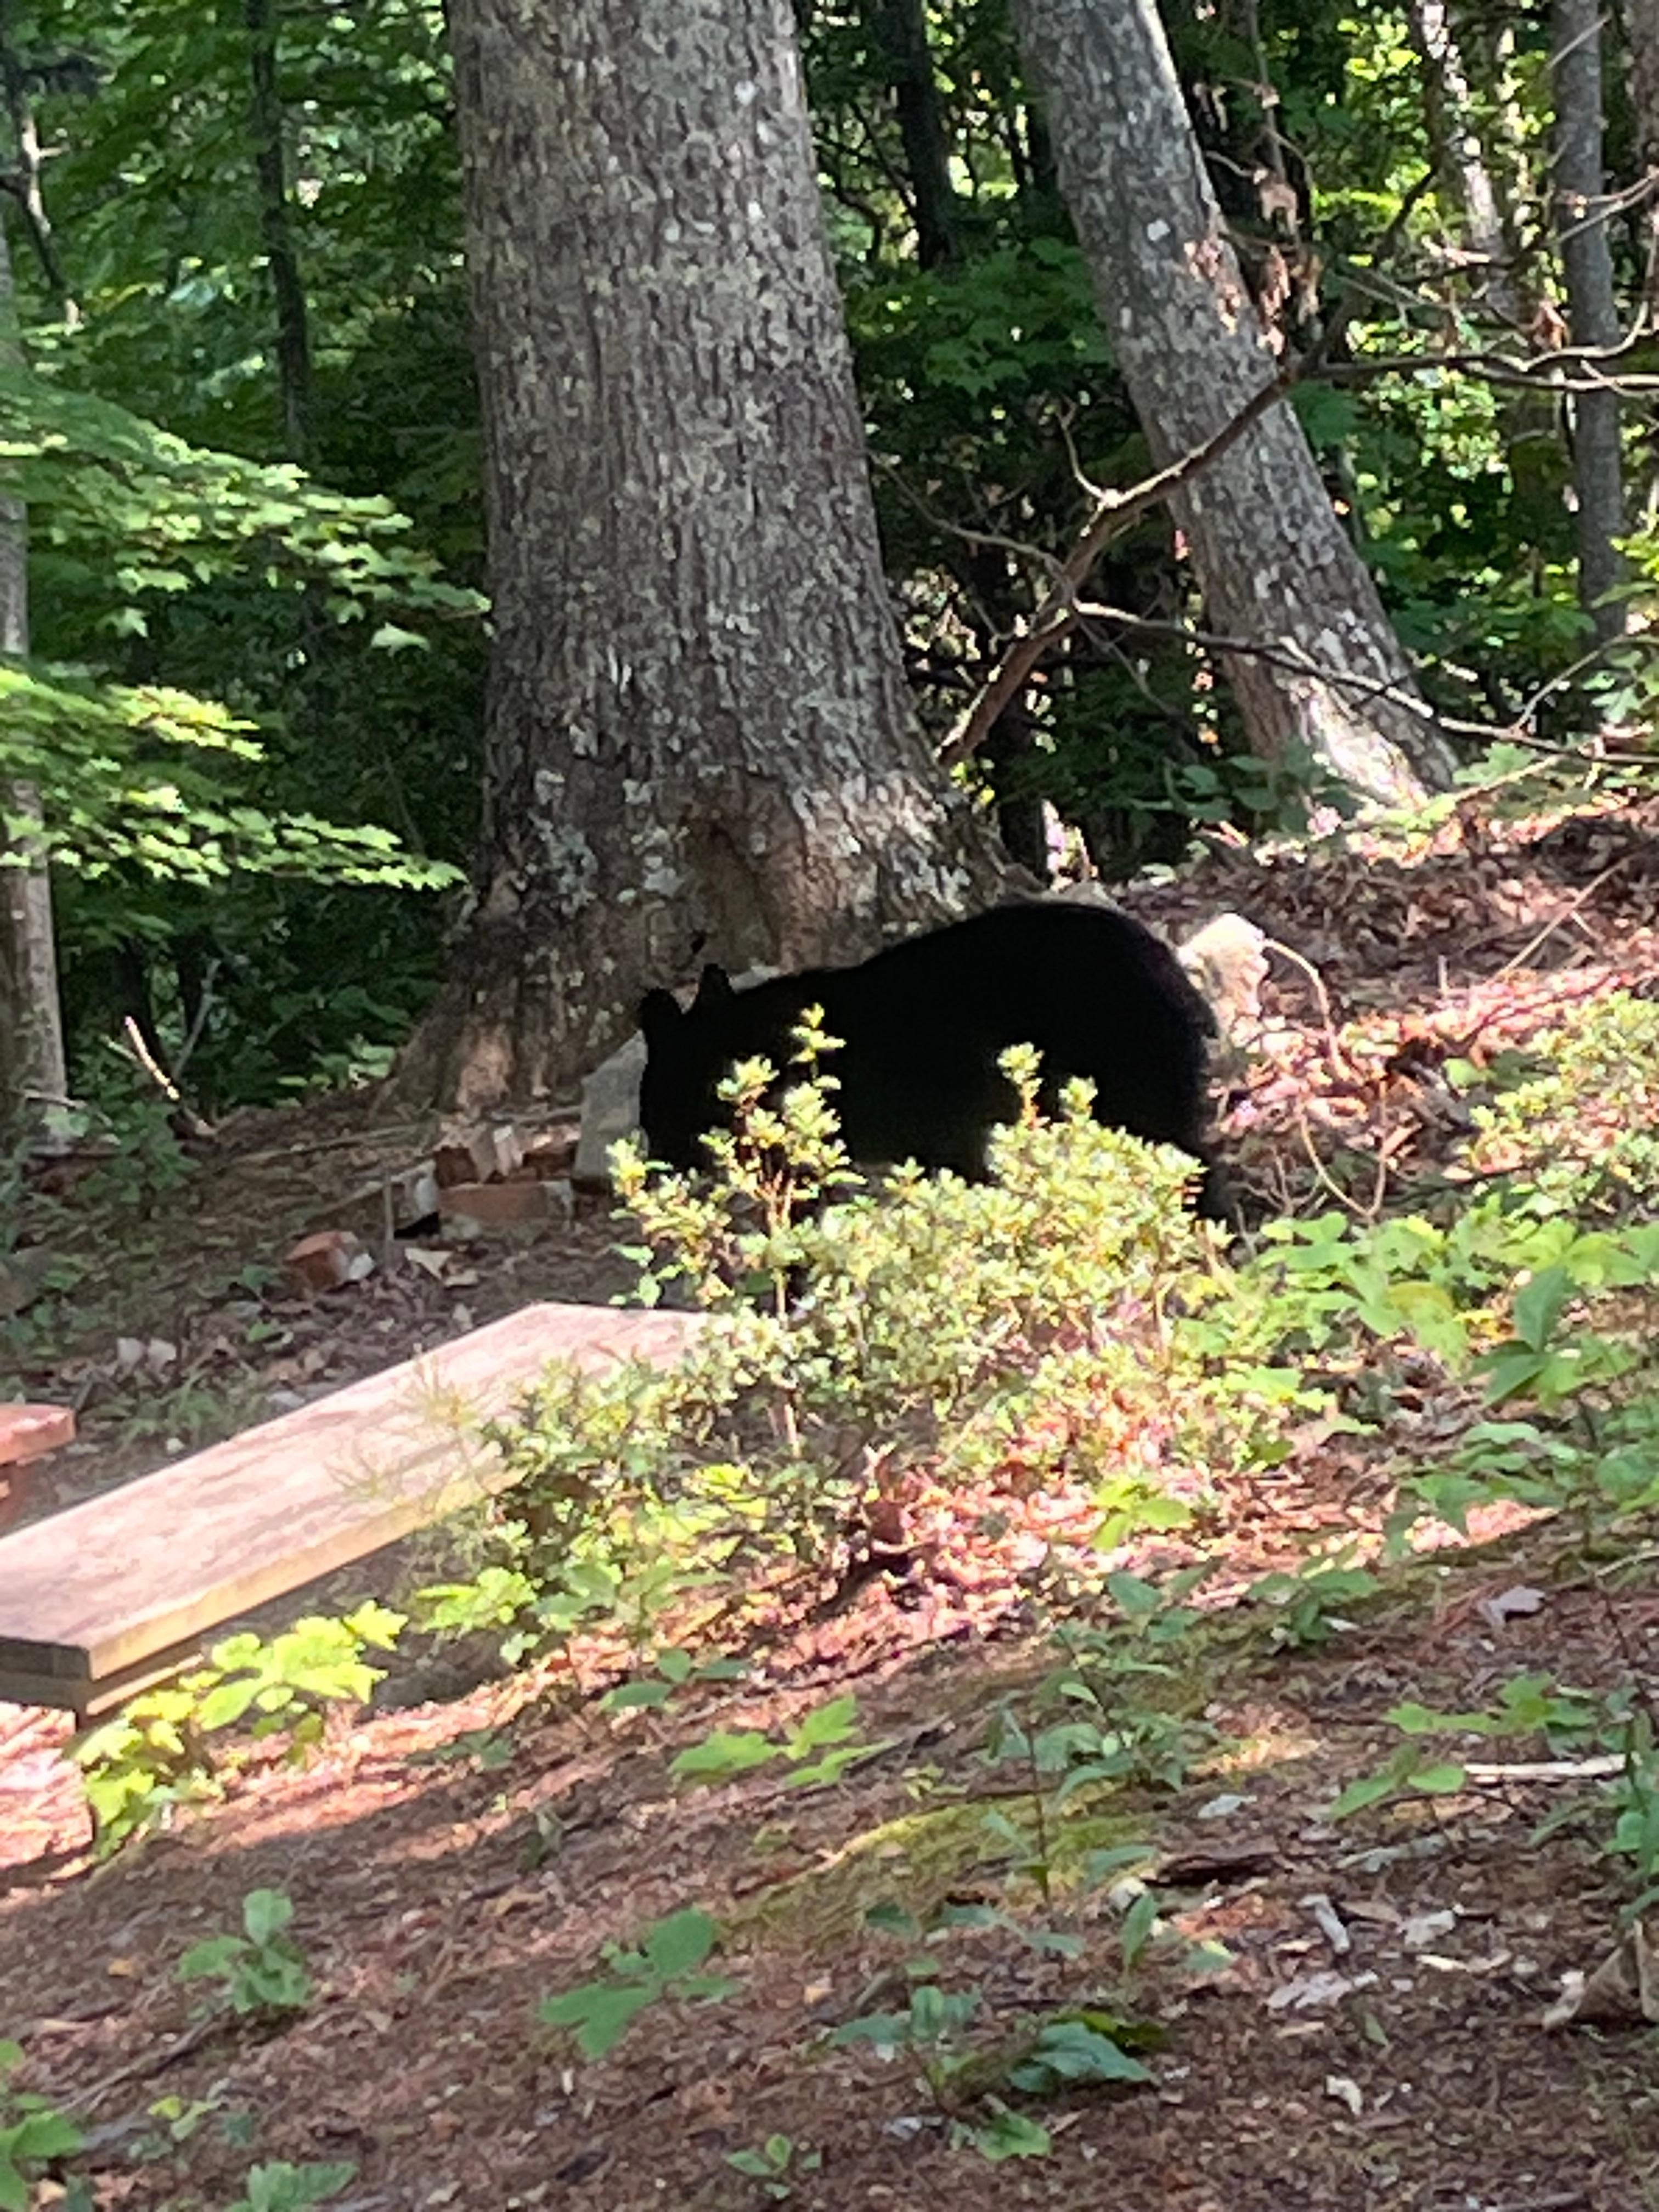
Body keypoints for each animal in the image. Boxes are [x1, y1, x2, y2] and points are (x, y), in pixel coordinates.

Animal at [637, 900, 1225, 1217]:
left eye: (658, 1111)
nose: (657, 1169)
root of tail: (1169, 969)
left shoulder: (948, 1105)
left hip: (1130, 1064)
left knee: (1179, 1148)